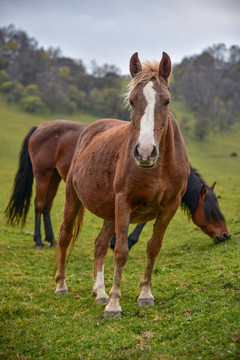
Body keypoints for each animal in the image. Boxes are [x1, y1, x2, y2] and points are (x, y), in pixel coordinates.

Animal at [54, 52, 189, 316]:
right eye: (133, 101)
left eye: (166, 101)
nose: (145, 152)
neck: (158, 167)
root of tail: (89, 132)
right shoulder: (124, 202)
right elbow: (121, 252)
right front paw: (115, 304)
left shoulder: (170, 207)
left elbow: (153, 247)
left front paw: (145, 294)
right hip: (73, 199)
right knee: (65, 237)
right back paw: (62, 286)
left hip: (110, 211)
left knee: (99, 244)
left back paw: (100, 292)